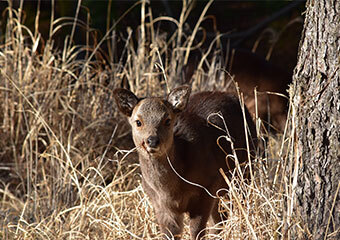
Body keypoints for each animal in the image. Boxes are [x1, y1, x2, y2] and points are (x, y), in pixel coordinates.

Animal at [113, 85, 256, 239]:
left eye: (167, 120)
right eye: (138, 122)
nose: (152, 140)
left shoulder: (207, 188)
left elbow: (197, 232)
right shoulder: (159, 204)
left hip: (245, 171)